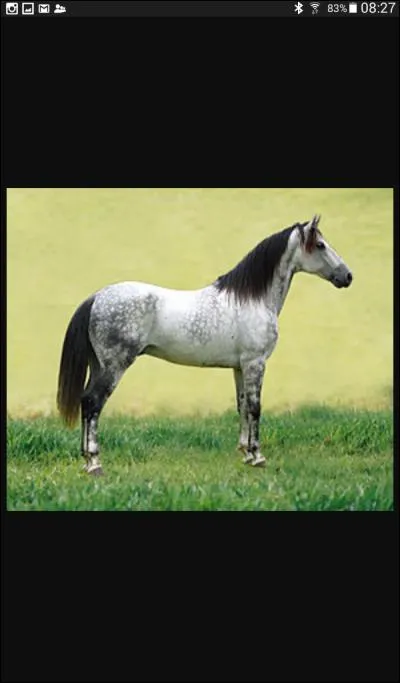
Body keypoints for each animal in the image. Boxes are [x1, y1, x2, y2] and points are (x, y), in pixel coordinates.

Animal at [57, 215, 353, 475]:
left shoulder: (240, 367)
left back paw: (86, 460)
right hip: (114, 366)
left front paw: (245, 453)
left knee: (85, 401)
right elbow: (255, 408)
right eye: (320, 245)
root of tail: (97, 297)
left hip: (99, 365)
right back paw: (95, 463)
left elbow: (242, 406)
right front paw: (258, 456)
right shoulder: (255, 363)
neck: (253, 299)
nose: (348, 276)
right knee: (93, 403)